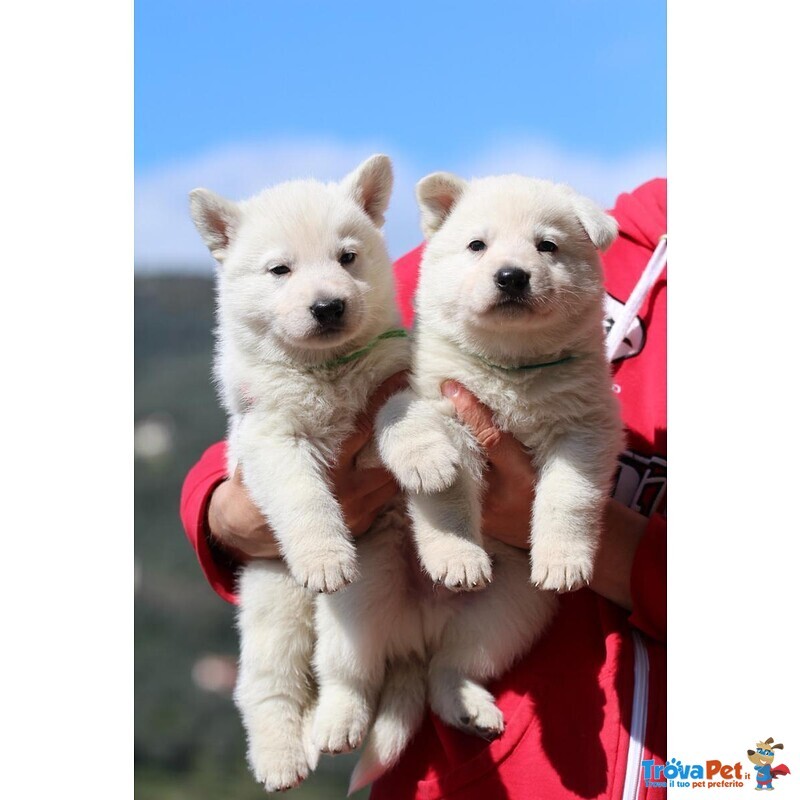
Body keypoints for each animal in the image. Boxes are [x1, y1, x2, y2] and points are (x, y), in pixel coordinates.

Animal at [191, 153, 410, 792]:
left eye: (347, 257)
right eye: (280, 270)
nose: (329, 306)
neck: (325, 371)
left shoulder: (391, 378)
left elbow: (401, 411)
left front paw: (425, 453)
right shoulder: (268, 436)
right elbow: (301, 495)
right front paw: (324, 554)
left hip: (369, 591)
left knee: (347, 669)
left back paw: (334, 722)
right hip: (271, 601)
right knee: (266, 689)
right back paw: (281, 756)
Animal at [380, 173, 624, 592]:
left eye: (547, 245)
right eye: (477, 245)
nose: (512, 276)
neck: (511, 363)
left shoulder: (583, 422)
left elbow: (570, 493)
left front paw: (562, 563)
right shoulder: (447, 402)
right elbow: (448, 493)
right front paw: (459, 558)